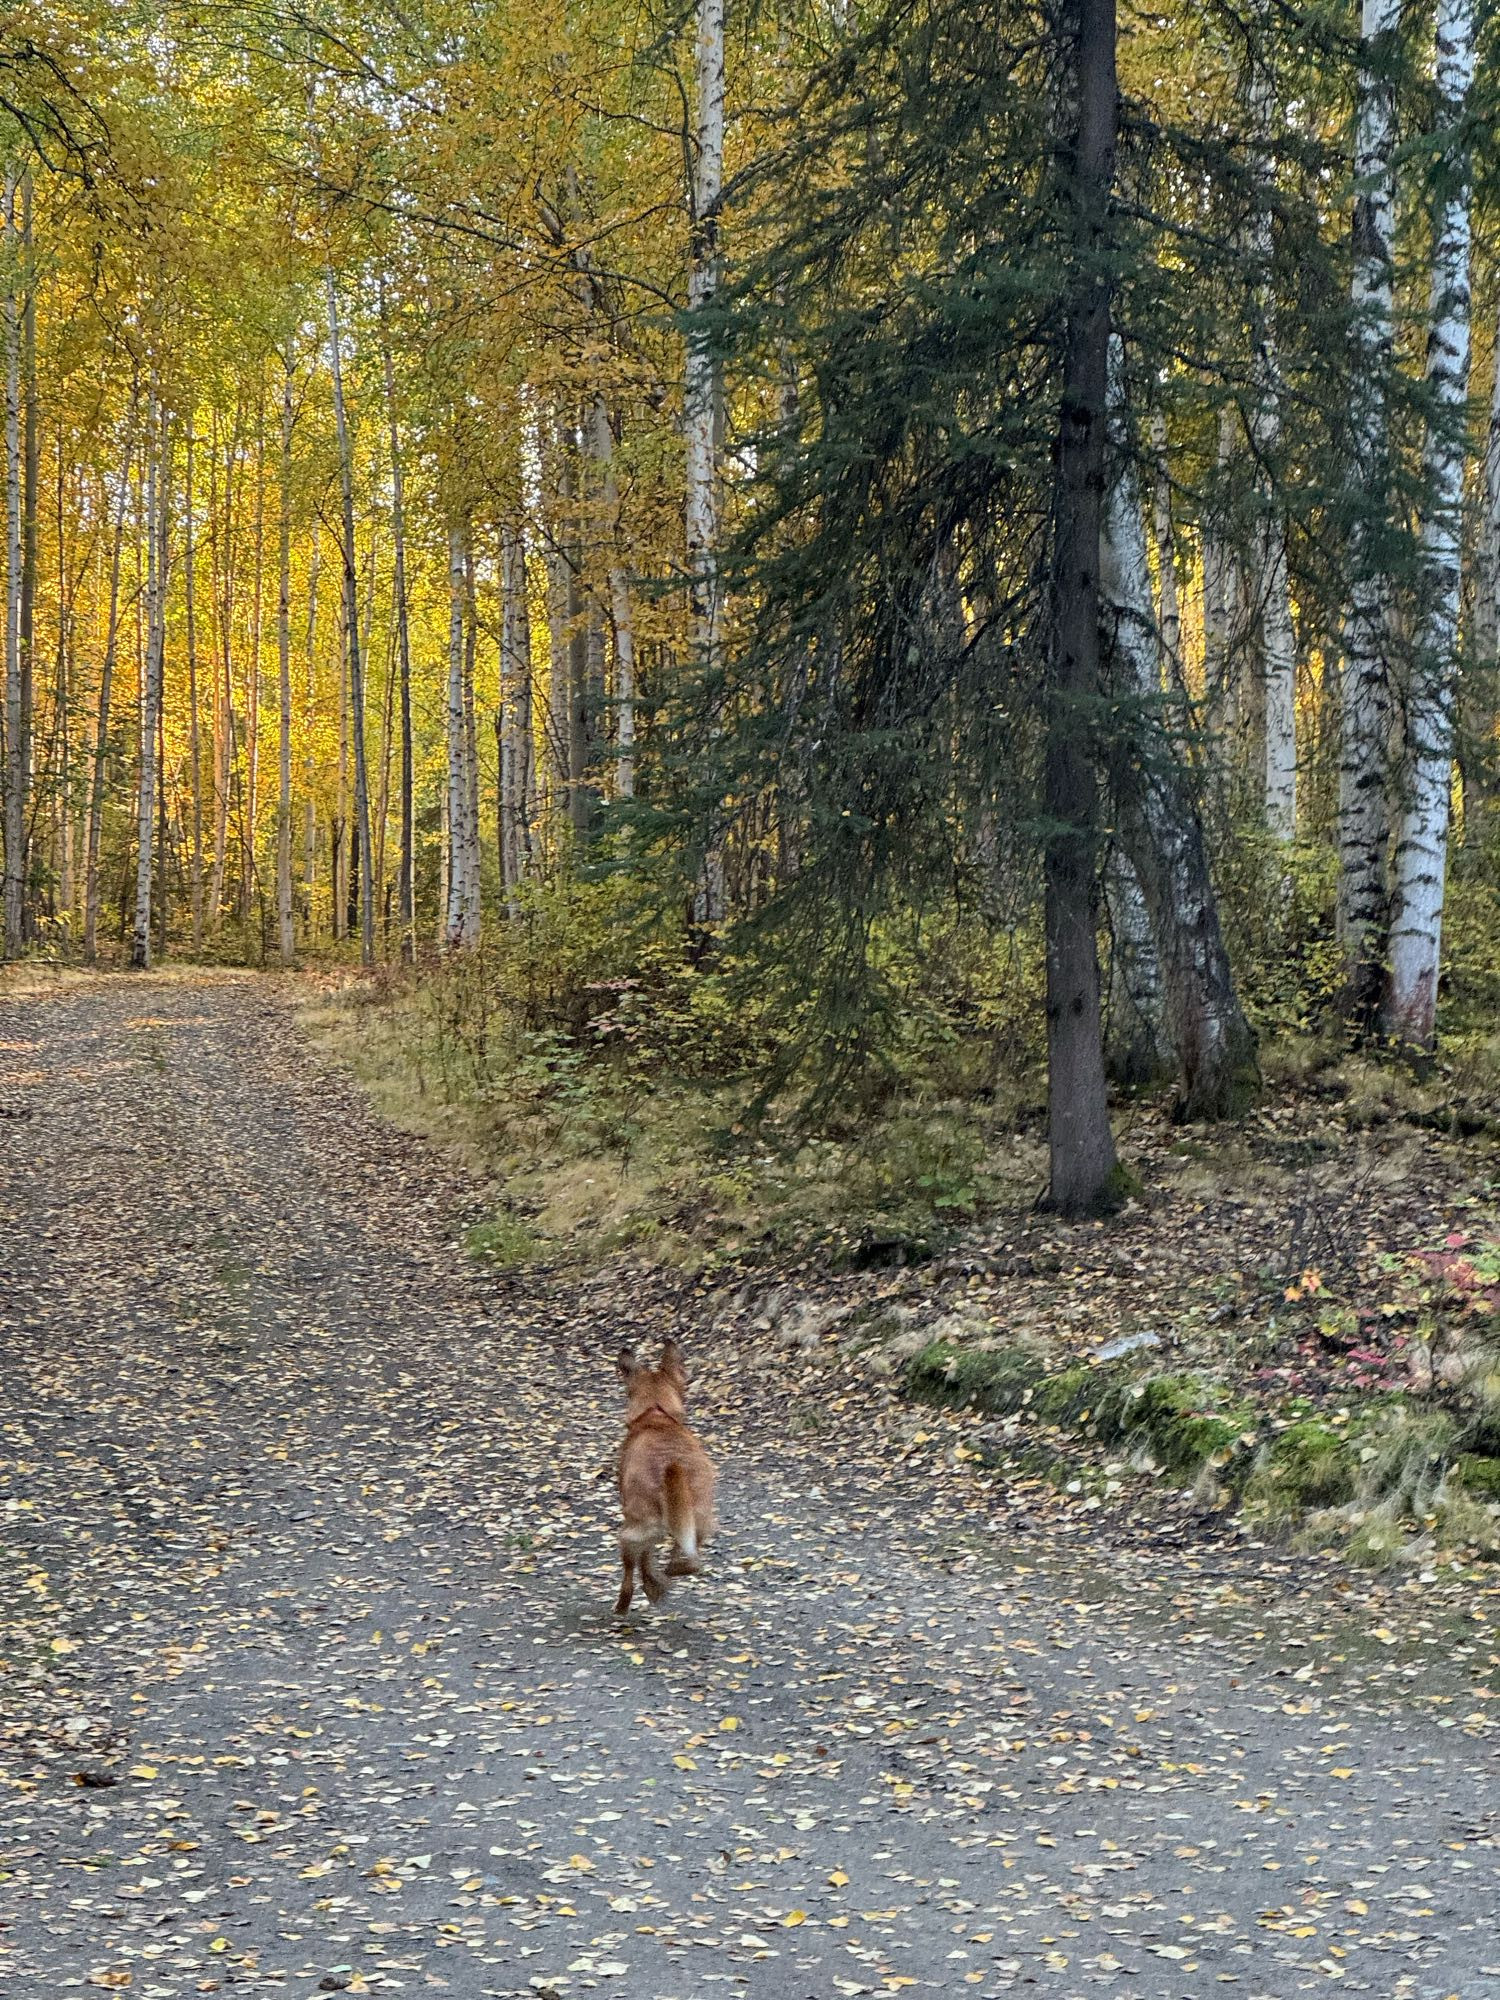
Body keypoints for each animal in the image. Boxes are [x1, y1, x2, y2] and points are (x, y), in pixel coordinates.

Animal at [620, 1336, 720, 1616]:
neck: (656, 1413)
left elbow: (643, 1562)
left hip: (634, 1529)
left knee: (631, 1567)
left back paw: (625, 1603)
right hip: (699, 1520)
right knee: (690, 1559)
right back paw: (669, 1574)